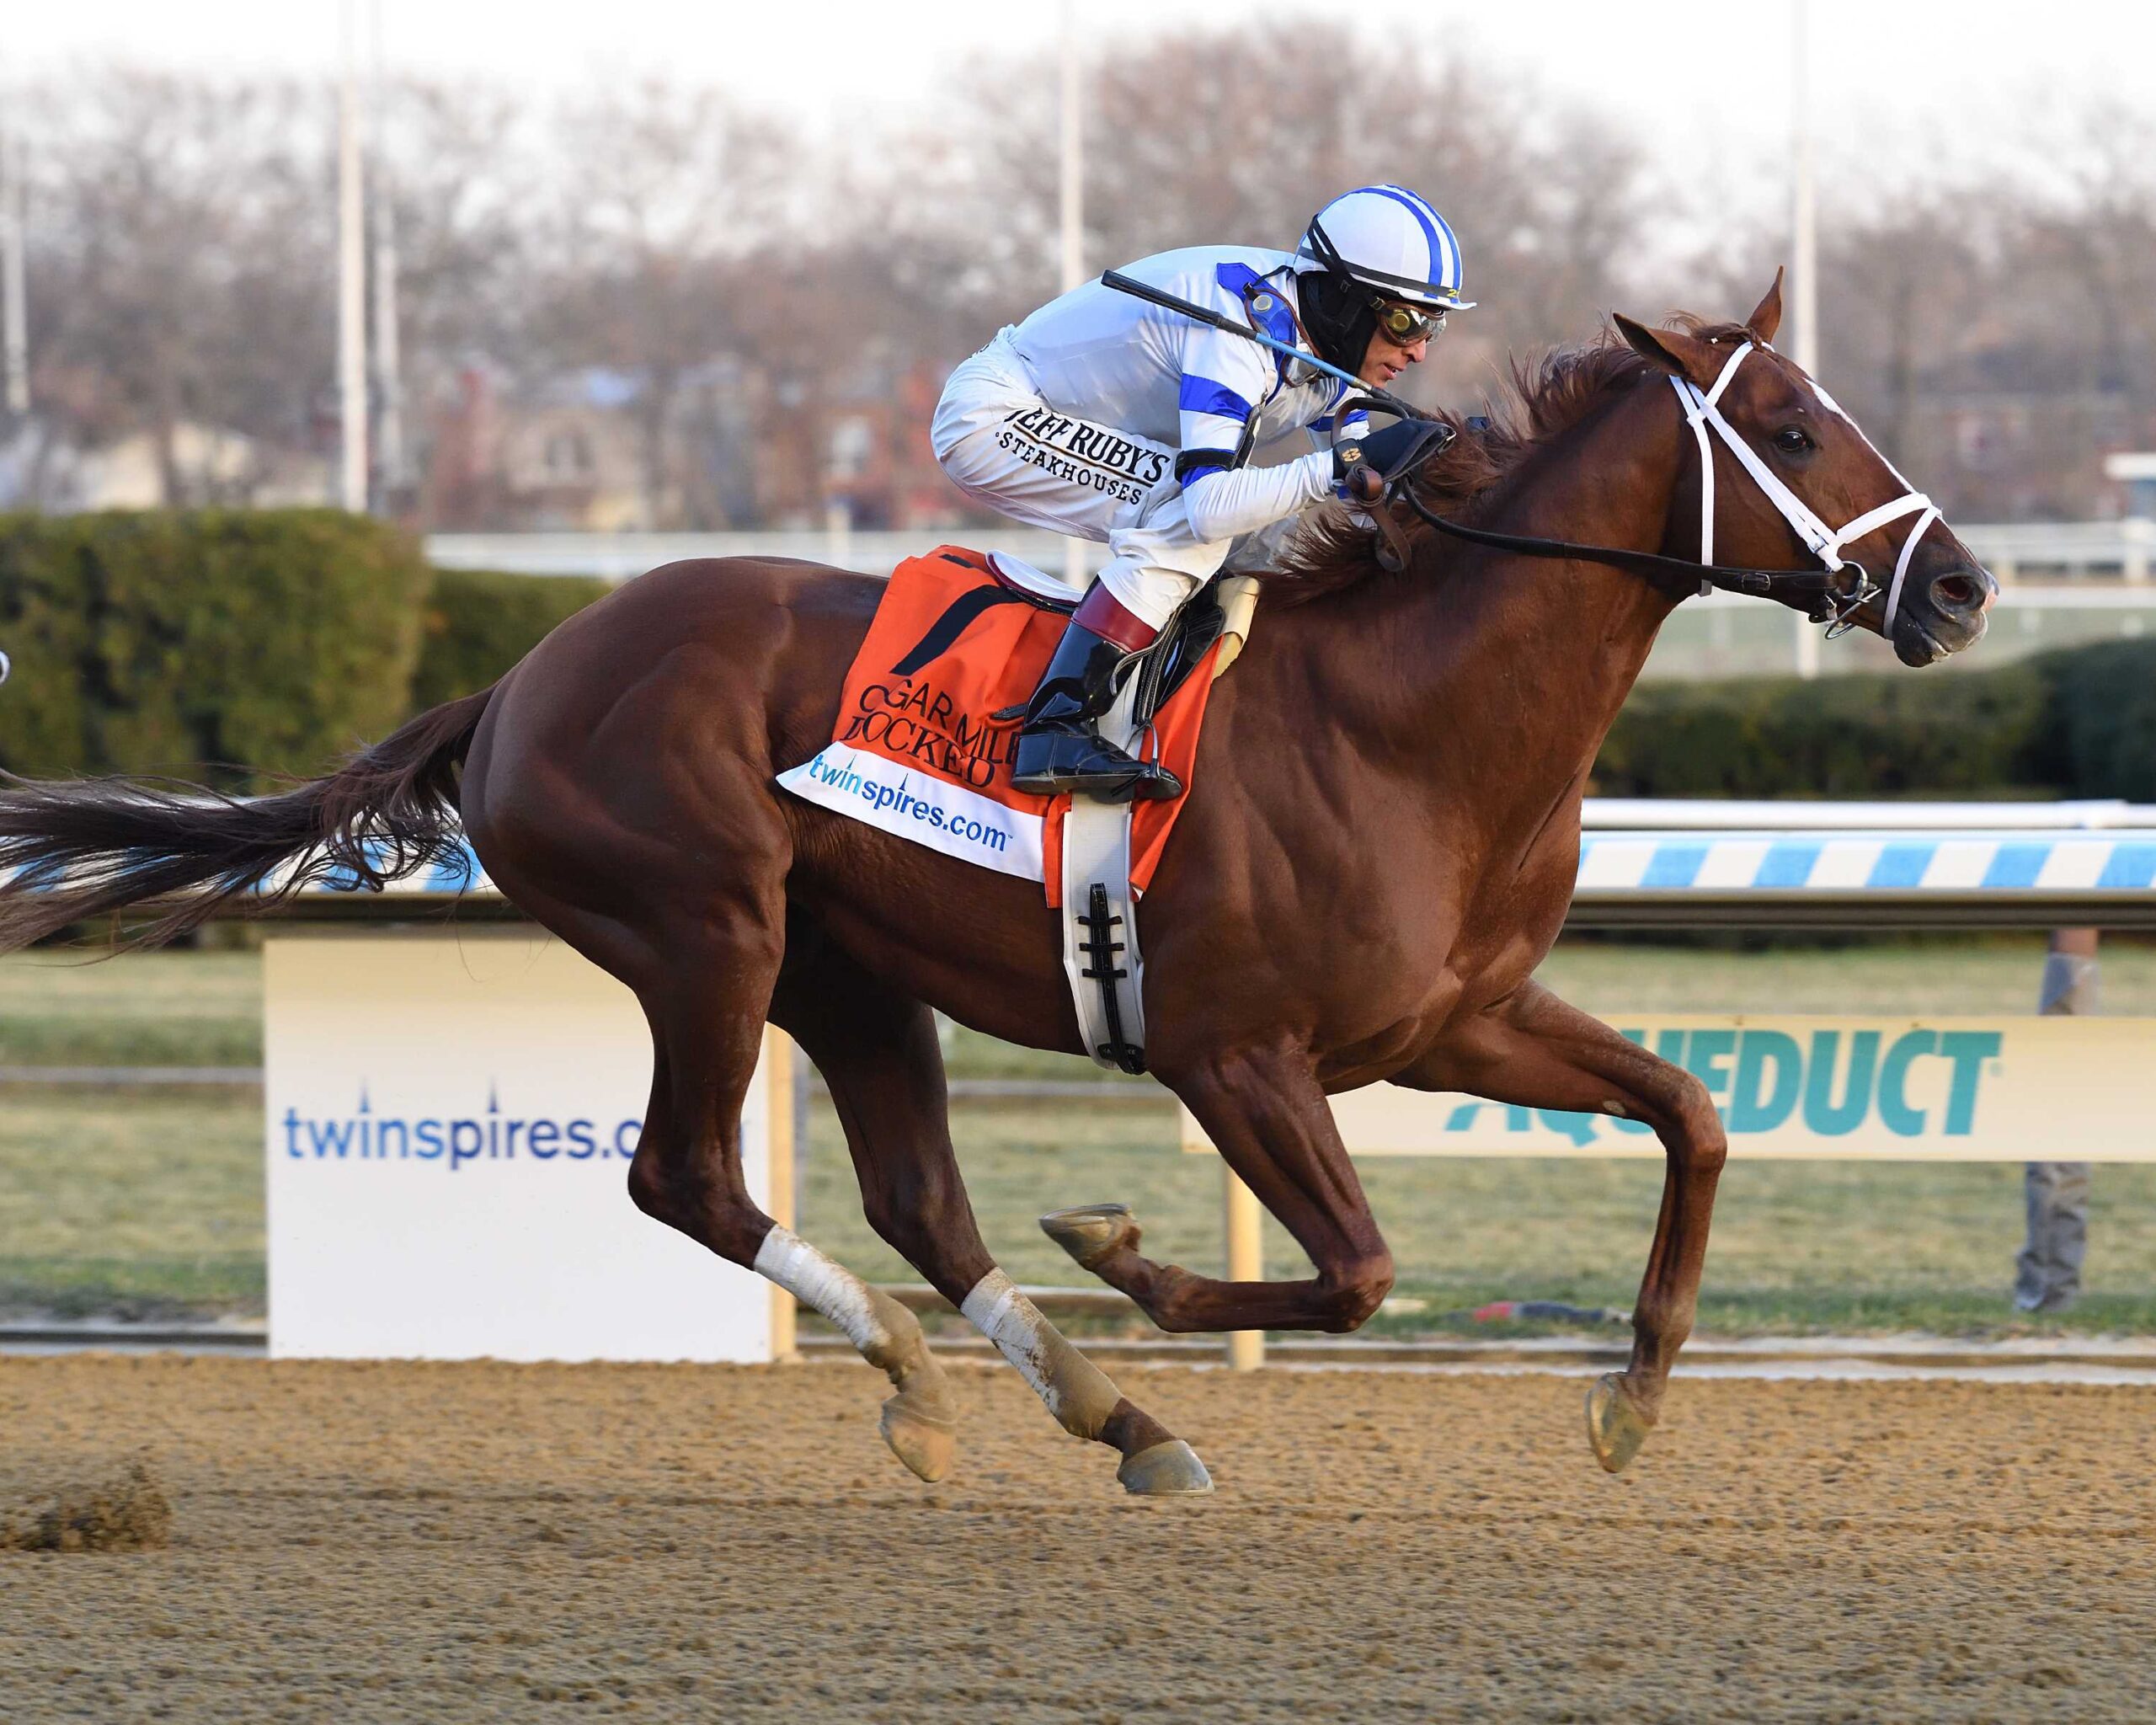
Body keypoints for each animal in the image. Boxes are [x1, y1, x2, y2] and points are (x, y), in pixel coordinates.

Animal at [0, 277, 1993, 1495]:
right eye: (1794, 430)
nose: (1963, 587)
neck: (1407, 718)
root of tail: (521, 673)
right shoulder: (1230, 1053)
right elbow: (1353, 1270)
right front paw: (1124, 1252)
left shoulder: (1456, 1018)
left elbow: (1691, 1113)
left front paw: (1635, 1391)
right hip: (705, 929)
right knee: (686, 1175)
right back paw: (938, 1360)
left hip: (849, 969)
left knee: (916, 1202)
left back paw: (1101, 1412)